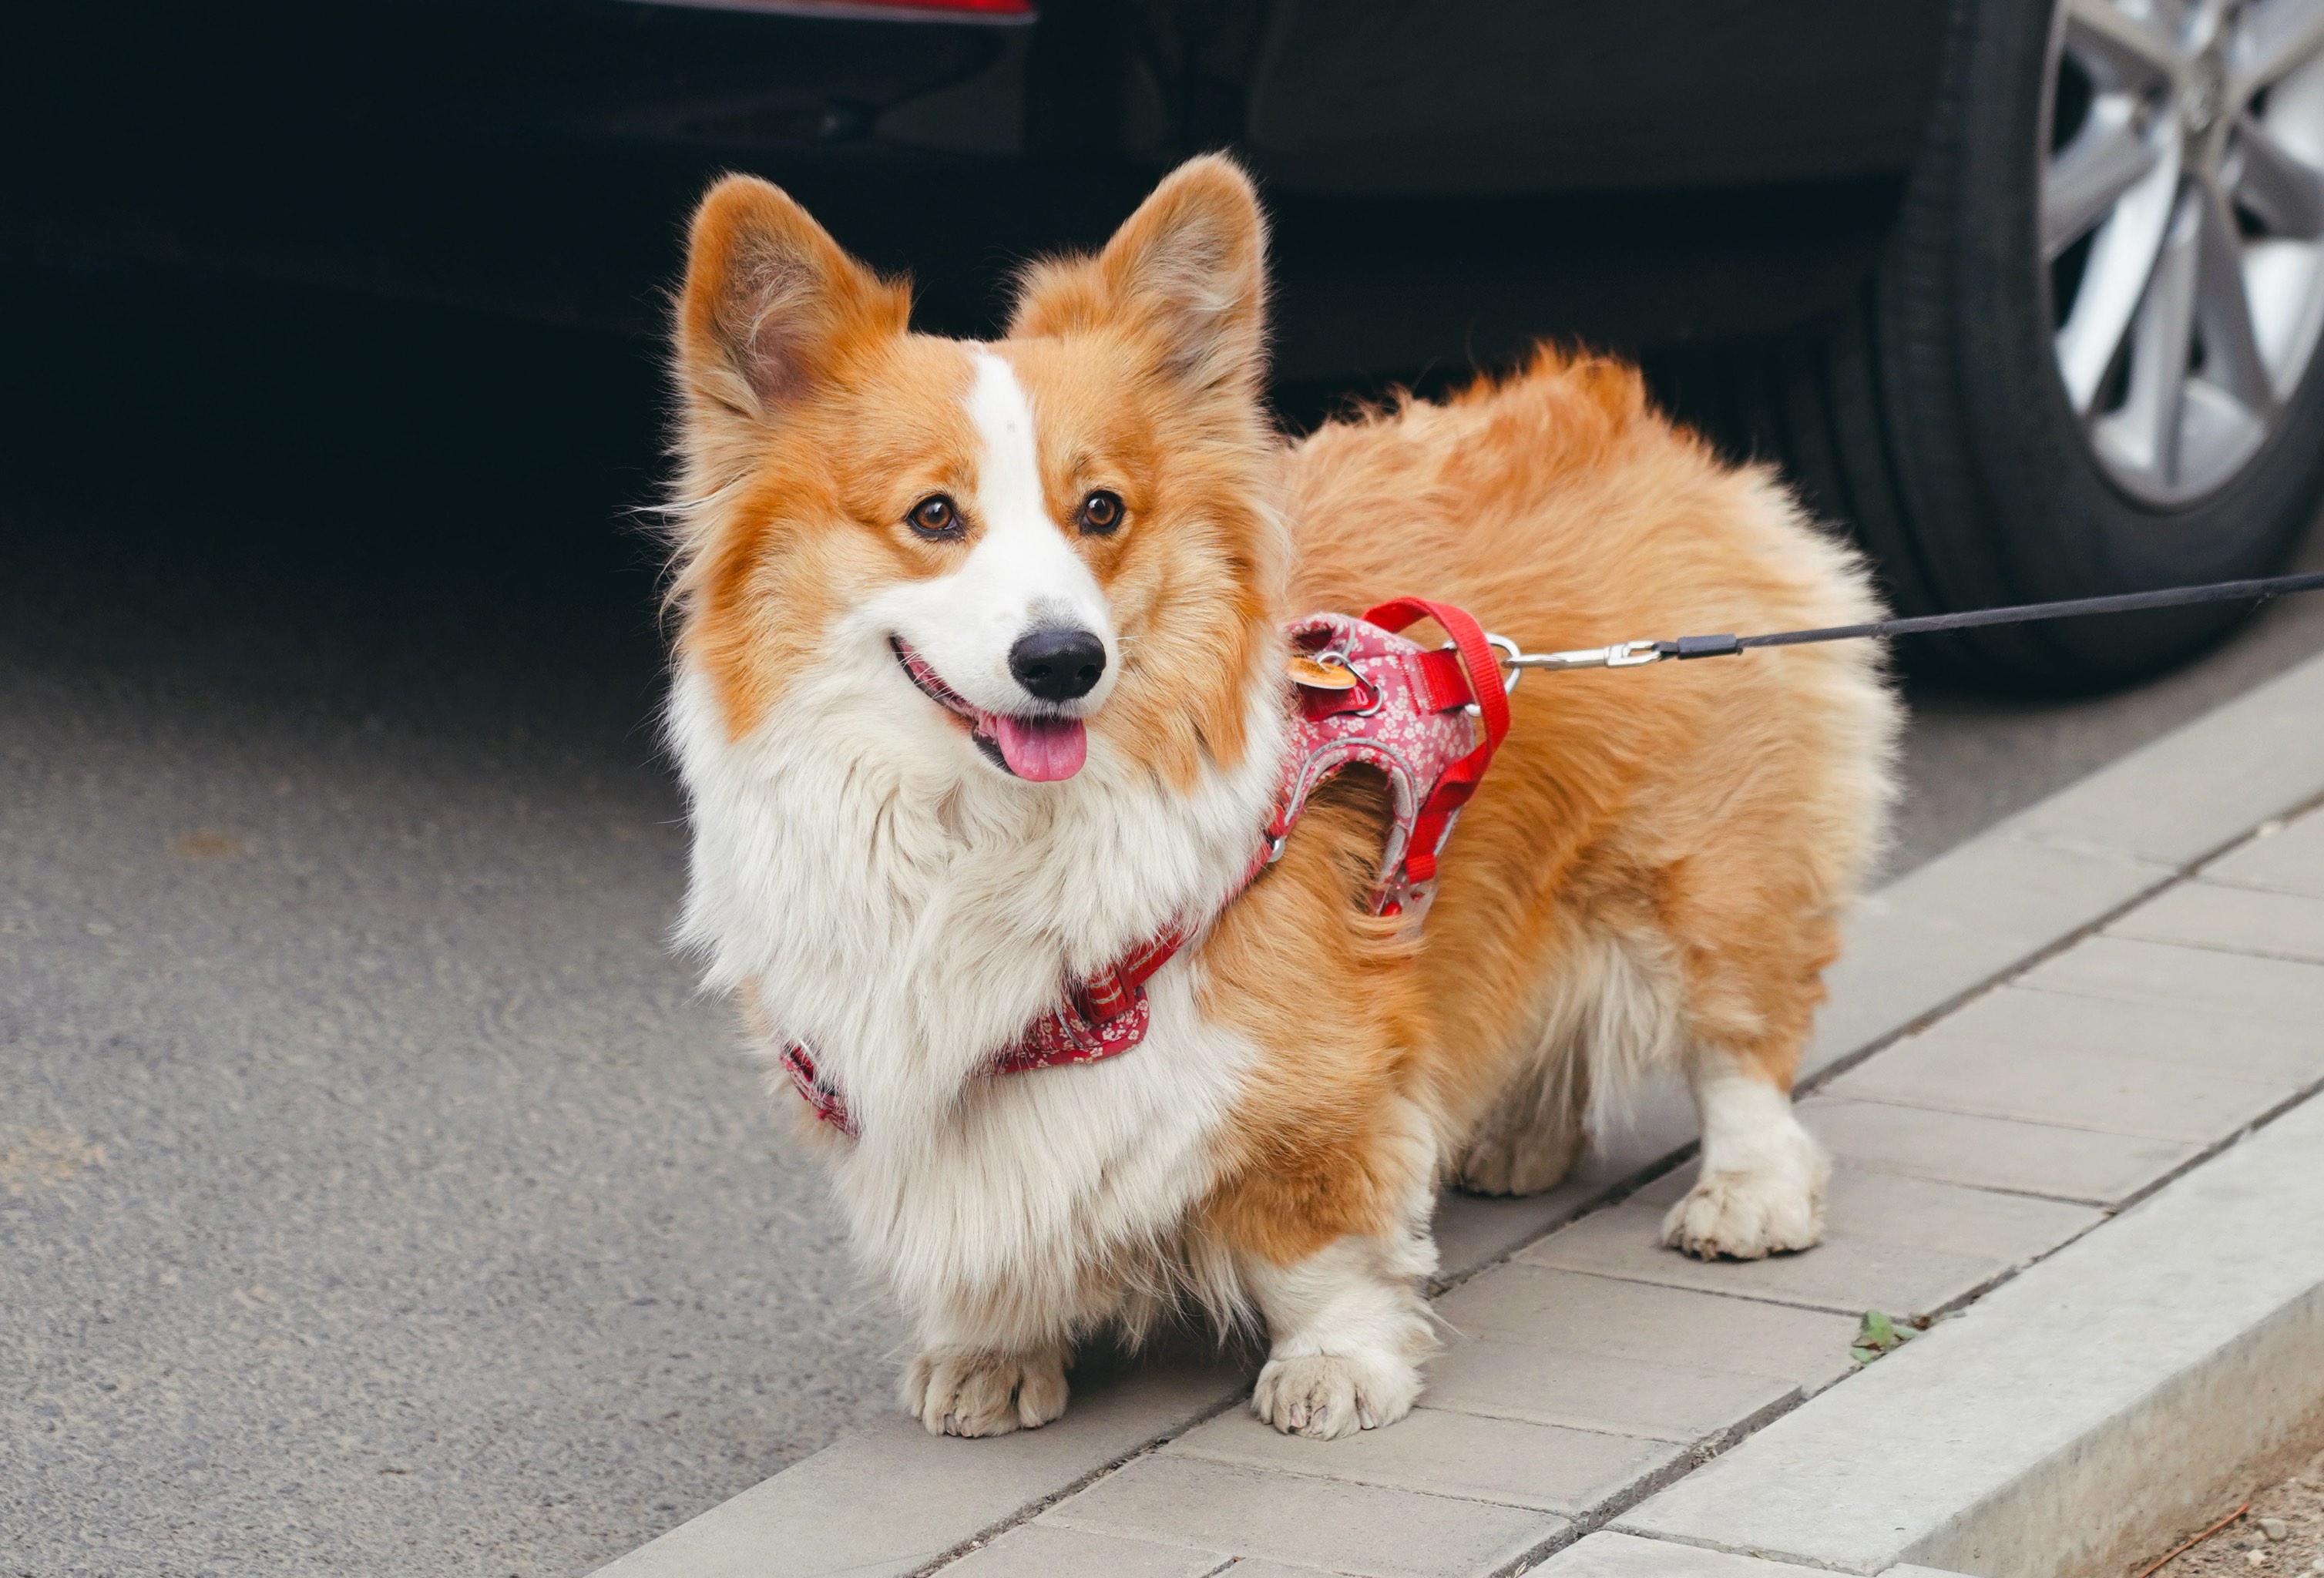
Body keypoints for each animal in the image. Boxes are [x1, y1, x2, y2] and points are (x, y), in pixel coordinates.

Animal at [664, 154, 1896, 1441]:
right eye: (934, 516)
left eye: (1101, 510)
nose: (1064, 661)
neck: (976, 835)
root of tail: (1635, 417)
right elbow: (978, 1216)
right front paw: (989, 1350)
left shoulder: (1306, 1056)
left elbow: (1319, 1238)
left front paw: (1336, 1366)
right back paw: (1519, 1139)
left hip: (1698, 868)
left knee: (1740, 1037)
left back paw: (1749, 1193)